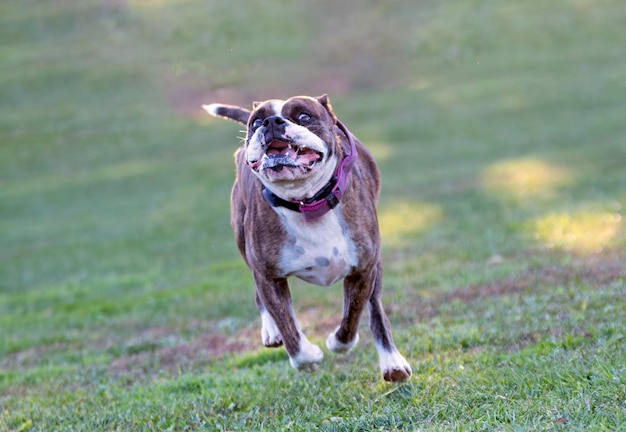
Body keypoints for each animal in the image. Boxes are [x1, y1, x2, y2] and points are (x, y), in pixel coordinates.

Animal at [202, 93, 412, 382]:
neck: (306, 202)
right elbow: (290, 330)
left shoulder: (362, 270)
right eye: (255, 122)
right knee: (262, 300)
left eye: (303, 116)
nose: (270, 121)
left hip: (375, 266)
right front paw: (309, 357)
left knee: (375, 309)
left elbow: (351, 321)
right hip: (244, 244)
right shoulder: (268, 276)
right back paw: (271, 330)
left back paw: (392, 362)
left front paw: (337, 342)